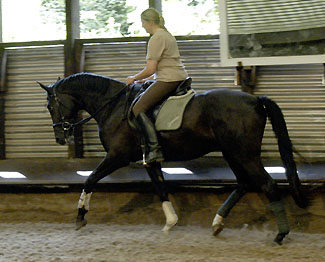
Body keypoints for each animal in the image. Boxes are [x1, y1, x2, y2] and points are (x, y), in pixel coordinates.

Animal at [38, 72, 306, 245]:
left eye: (51, 106)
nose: (60, 137)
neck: (112, 106)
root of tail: (255, 99)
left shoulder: (117, 156)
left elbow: (90, 180)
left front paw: (80, 216)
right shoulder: (150, 159)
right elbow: (160, 187)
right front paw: (171, 222)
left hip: (244, 153)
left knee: (267, 184)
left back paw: (280, 235)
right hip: (232, 153)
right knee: (244, 183)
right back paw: (217, 223)